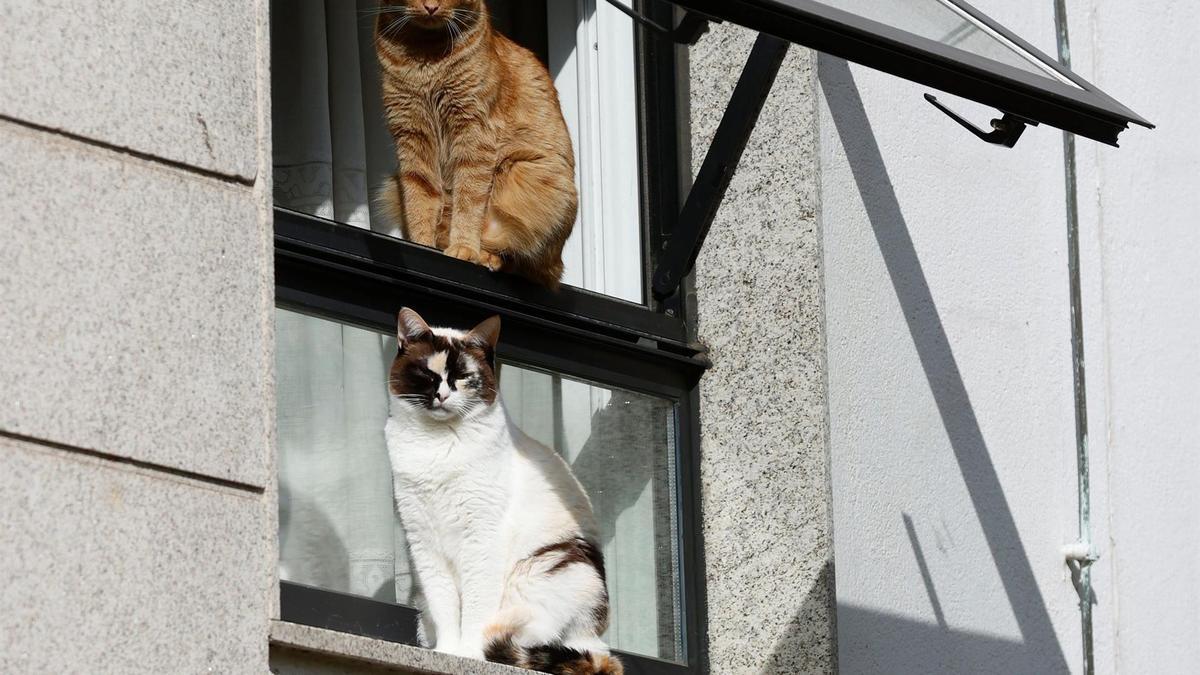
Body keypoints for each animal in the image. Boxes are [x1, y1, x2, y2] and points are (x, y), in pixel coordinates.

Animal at [376, 0, 578, 285]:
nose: (430, 7)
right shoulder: (411, 137)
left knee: (522, 261)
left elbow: (469, 199)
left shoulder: (474, 134)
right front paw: (422, 246)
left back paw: (486, 256)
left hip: (528, 174)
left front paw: (464, 248)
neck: (426, 55)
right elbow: (419, 202)